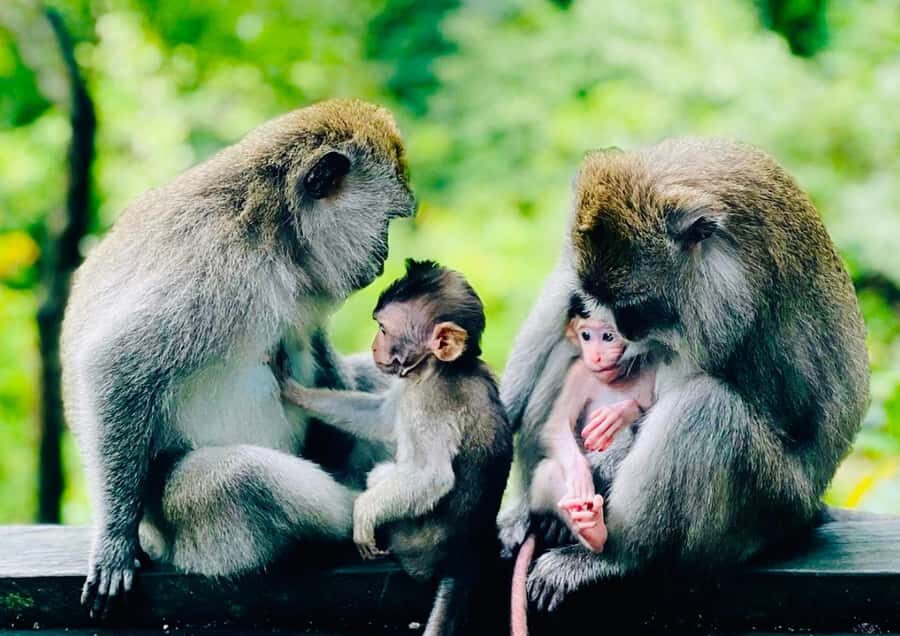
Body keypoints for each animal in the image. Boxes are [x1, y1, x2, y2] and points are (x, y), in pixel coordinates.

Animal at [60, 99, 417, 617]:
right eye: (387, 221)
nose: (384, 254)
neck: (277, 232)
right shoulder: (215, 269)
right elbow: (116, 365)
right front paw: (113, 541)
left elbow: (317, 347)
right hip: (186, 531)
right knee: (236, 478)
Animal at [282, 259, 514, 636]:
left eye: (384, 329)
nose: (374, 346)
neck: (440, 369)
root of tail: (465, 554)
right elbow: (381, 418)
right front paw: (294, 391)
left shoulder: (428, 402)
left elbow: (432, 477)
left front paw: (363, 512)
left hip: (412, 544)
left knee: (385, 476)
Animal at [510, 298, 656, 635]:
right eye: (586, 336)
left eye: (609, 336)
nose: (596, 355)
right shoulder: (579, 373)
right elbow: (555, 425)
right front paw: (581, 479)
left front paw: (620, 414)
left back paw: (595, 533)